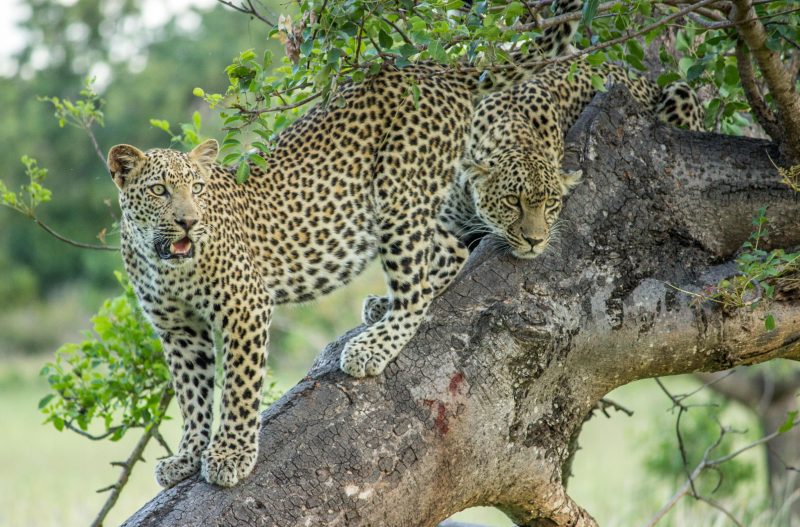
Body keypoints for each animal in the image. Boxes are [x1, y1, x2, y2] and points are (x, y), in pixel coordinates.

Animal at [106, 0, 585, 488]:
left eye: (197, 189)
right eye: (160, 191)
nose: (188, 222)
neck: (162, 263)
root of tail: (431, 68)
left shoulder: (245, 306)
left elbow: (239, 387)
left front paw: (230, 454)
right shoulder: (178, 330)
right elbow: (192, 396)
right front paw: (186, 455)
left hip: (396, 193)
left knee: (420, 283)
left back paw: (373, 345)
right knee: (448, 248)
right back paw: (384, 307)